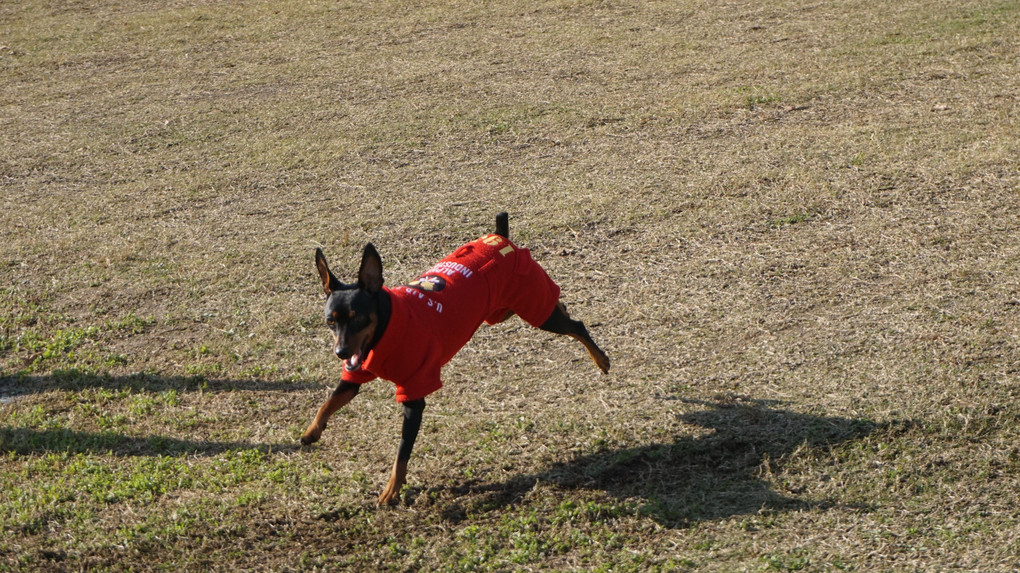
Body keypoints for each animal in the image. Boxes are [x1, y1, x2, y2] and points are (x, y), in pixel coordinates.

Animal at [297, 211, 607, 503]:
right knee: (559, 309)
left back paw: (601, 359)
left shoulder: (415, 393)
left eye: (358, 318)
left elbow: (402, 453)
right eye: (330, 322)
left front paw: (391, 491)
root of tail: (499, 237)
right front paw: (312, 431)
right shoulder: (355, 375)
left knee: (575, 325)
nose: (341, 352)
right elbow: (329, 402)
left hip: (533, 309)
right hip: (502, 311)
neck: (384, 330)